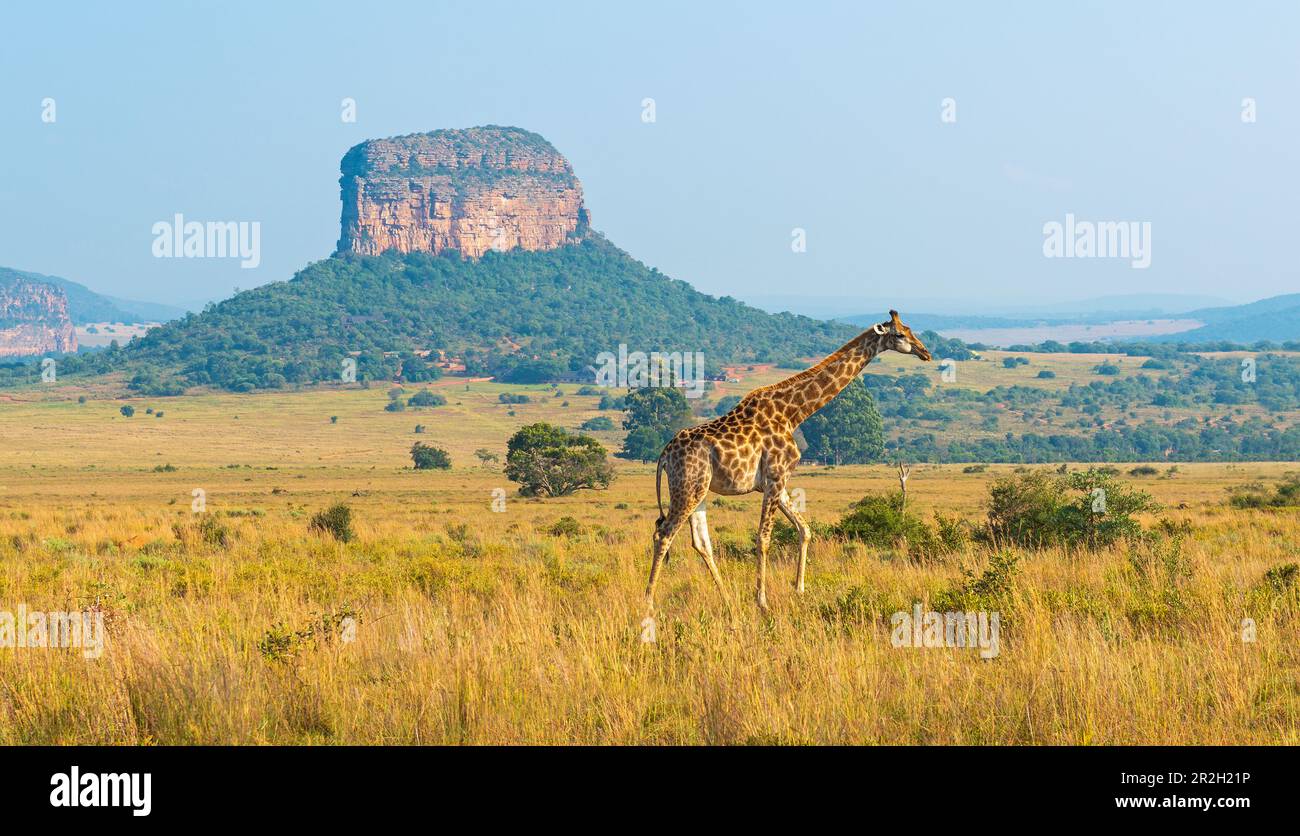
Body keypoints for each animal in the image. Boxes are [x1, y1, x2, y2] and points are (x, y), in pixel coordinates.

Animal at [644, 306, 930, 613]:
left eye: (910, 329)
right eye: (900, 334)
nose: (925, 352)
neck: (793, 413)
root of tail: (664, 454)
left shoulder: (775, 482)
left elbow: (804, 529)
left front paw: (799, 589)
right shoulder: (775, 477)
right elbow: (764, 537)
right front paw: (762, 601)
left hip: (700, 491)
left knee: (700, 542)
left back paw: (728, 600)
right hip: (688, 488)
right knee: (664, 534)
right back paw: (648, 603)